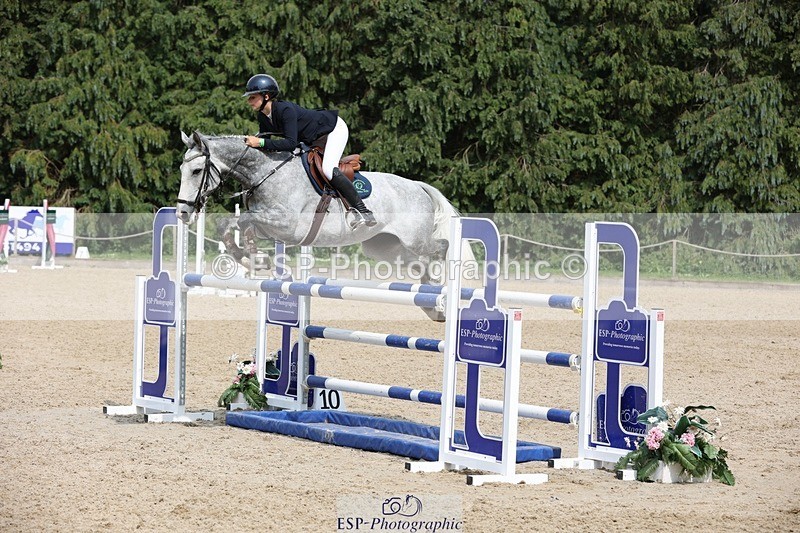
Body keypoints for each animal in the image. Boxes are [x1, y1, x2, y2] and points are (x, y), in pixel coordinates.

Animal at [176, 131, 466, 320]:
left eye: (196, 171)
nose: (182, 212)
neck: (266, 172)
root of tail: (418, 186)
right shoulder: (270, 223)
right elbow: (227, 223)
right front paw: (249, 258)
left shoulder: (288, 225)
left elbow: (245, 220)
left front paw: (255, 258)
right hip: (386, 248)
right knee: (419, 263)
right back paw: (431, 304)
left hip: (414, 239)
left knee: (440, 247)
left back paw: (439, 293)